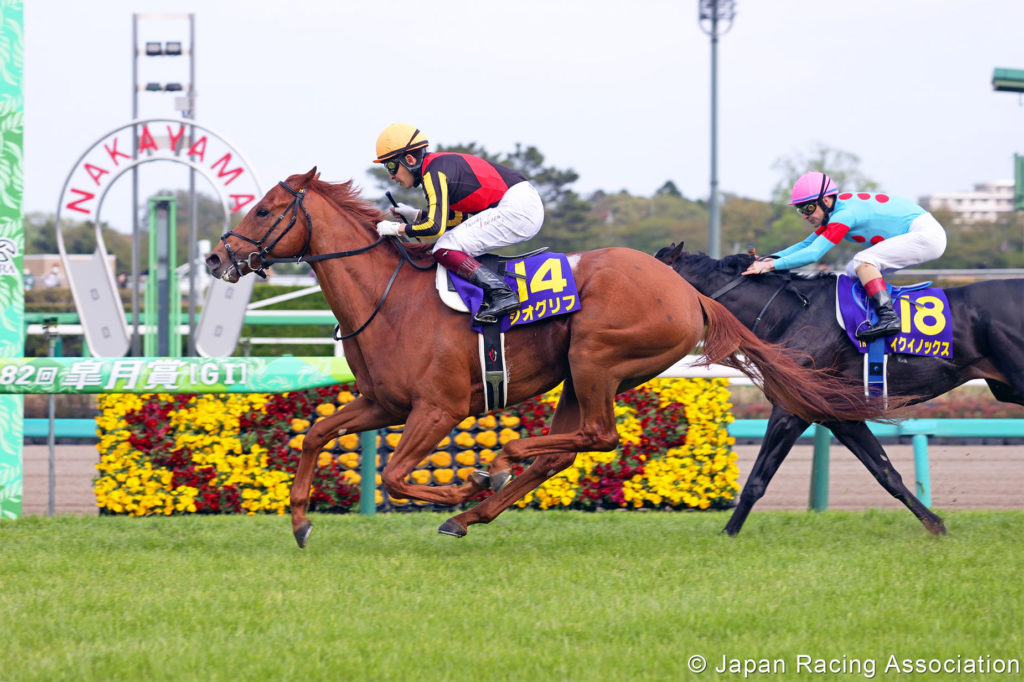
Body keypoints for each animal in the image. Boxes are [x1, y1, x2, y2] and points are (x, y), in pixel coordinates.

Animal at [205, 168, 891, 548]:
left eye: (265, 209)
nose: (215, 258)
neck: (388, 296)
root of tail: (687, 291)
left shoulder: (438, 409)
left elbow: (397, 475)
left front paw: (464, 481)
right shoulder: (382, 403)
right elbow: (316, 434)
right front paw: (300, 521)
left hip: (596, 358)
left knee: (595, 437)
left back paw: (492, 473)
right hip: (578, 377)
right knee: (565, 449)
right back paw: (477, 508)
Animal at [655, 242, 1024, 537]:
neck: (788, 314)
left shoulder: (791, 409)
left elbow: (757, 480)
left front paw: (728, 534)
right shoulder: (835, 413)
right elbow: (886, 473)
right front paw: (936, 525)